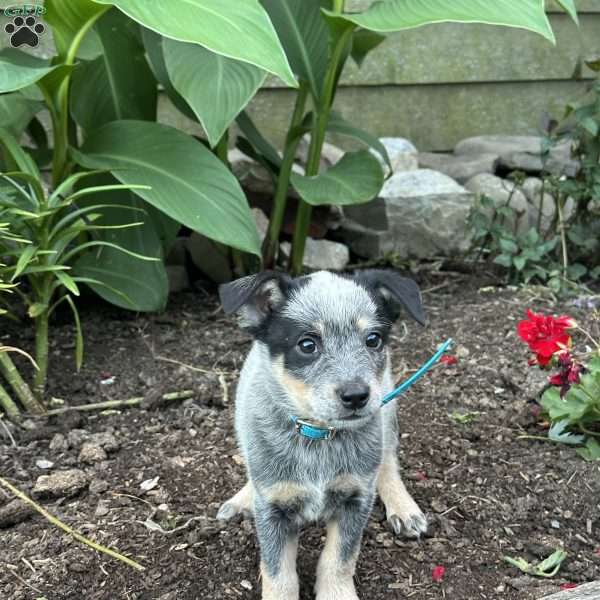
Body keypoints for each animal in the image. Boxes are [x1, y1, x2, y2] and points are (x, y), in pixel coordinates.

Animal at [218, 270, 428, 600]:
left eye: (373, 339)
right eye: (307, 345)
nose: (356, 396)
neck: (318, 436)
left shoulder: (356, 499)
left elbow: (340, 559)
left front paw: (337, 593)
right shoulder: (272, 512)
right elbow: (278, 574)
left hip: (387, 407)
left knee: (387, 460)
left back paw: (404, 508)